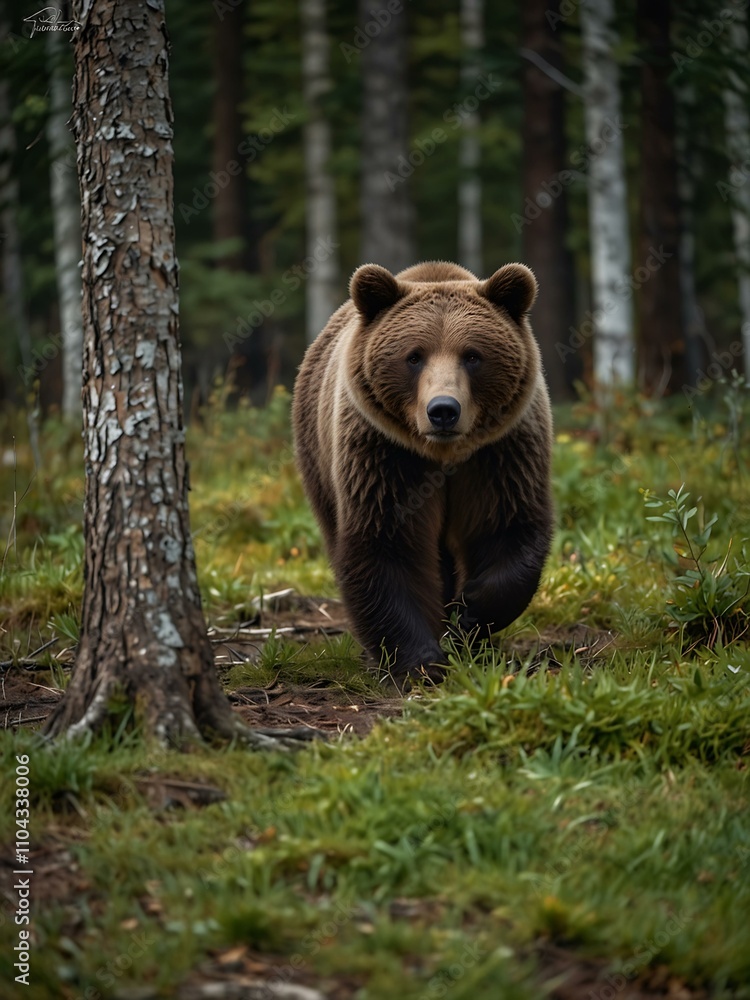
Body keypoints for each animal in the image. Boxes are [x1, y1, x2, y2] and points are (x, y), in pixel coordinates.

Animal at [292, 259, 554, 683]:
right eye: (414, 356)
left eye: (472, 355)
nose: (443, 410)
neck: (443, 455)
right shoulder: (387, 457)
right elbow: (387, 545)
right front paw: (421, 660)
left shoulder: (499, 454)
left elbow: (506, 527)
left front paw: (470, 612)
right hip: (317, 454)